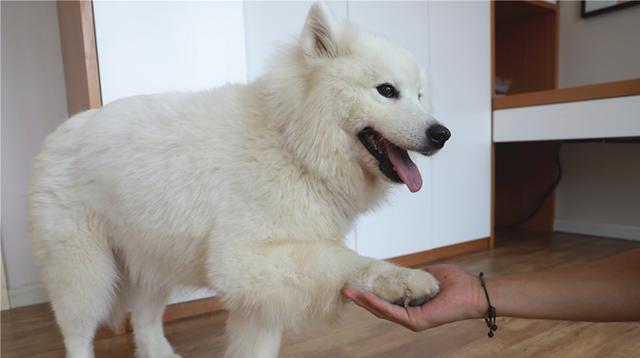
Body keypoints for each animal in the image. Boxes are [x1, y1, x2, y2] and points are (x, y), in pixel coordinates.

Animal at [28, 3, 450, 358]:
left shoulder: (260, 296)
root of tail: (57, 135)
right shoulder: (244, 261)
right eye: (387, 91)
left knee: (146, 325)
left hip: (153, 256)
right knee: (78, 336)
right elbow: (344, 260)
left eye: (419, 96)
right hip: (84, 274)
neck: (293, 142)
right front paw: (403, 280)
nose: (442, 134)